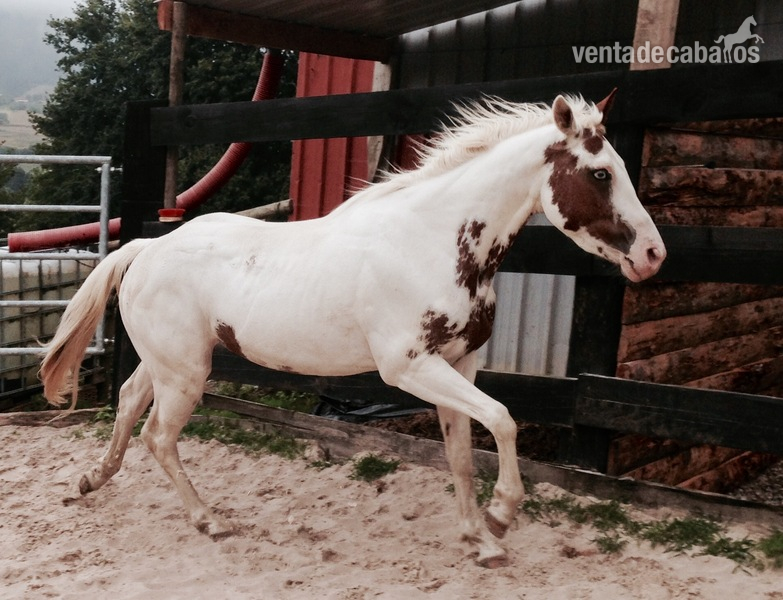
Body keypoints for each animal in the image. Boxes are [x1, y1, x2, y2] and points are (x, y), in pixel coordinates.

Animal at [40, 90, 666, 568]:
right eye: (601, 172)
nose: (653, 255)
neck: (432, 242)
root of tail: (146, 247)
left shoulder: (459, 365)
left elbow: (463, 451)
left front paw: (479, 541)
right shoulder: (409, 367)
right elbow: (504, 419)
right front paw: (501, 516)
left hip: (169, 364)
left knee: (127, 404)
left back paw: (92, 481)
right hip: (186, 373)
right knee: (159, 436)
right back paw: (209, 521)